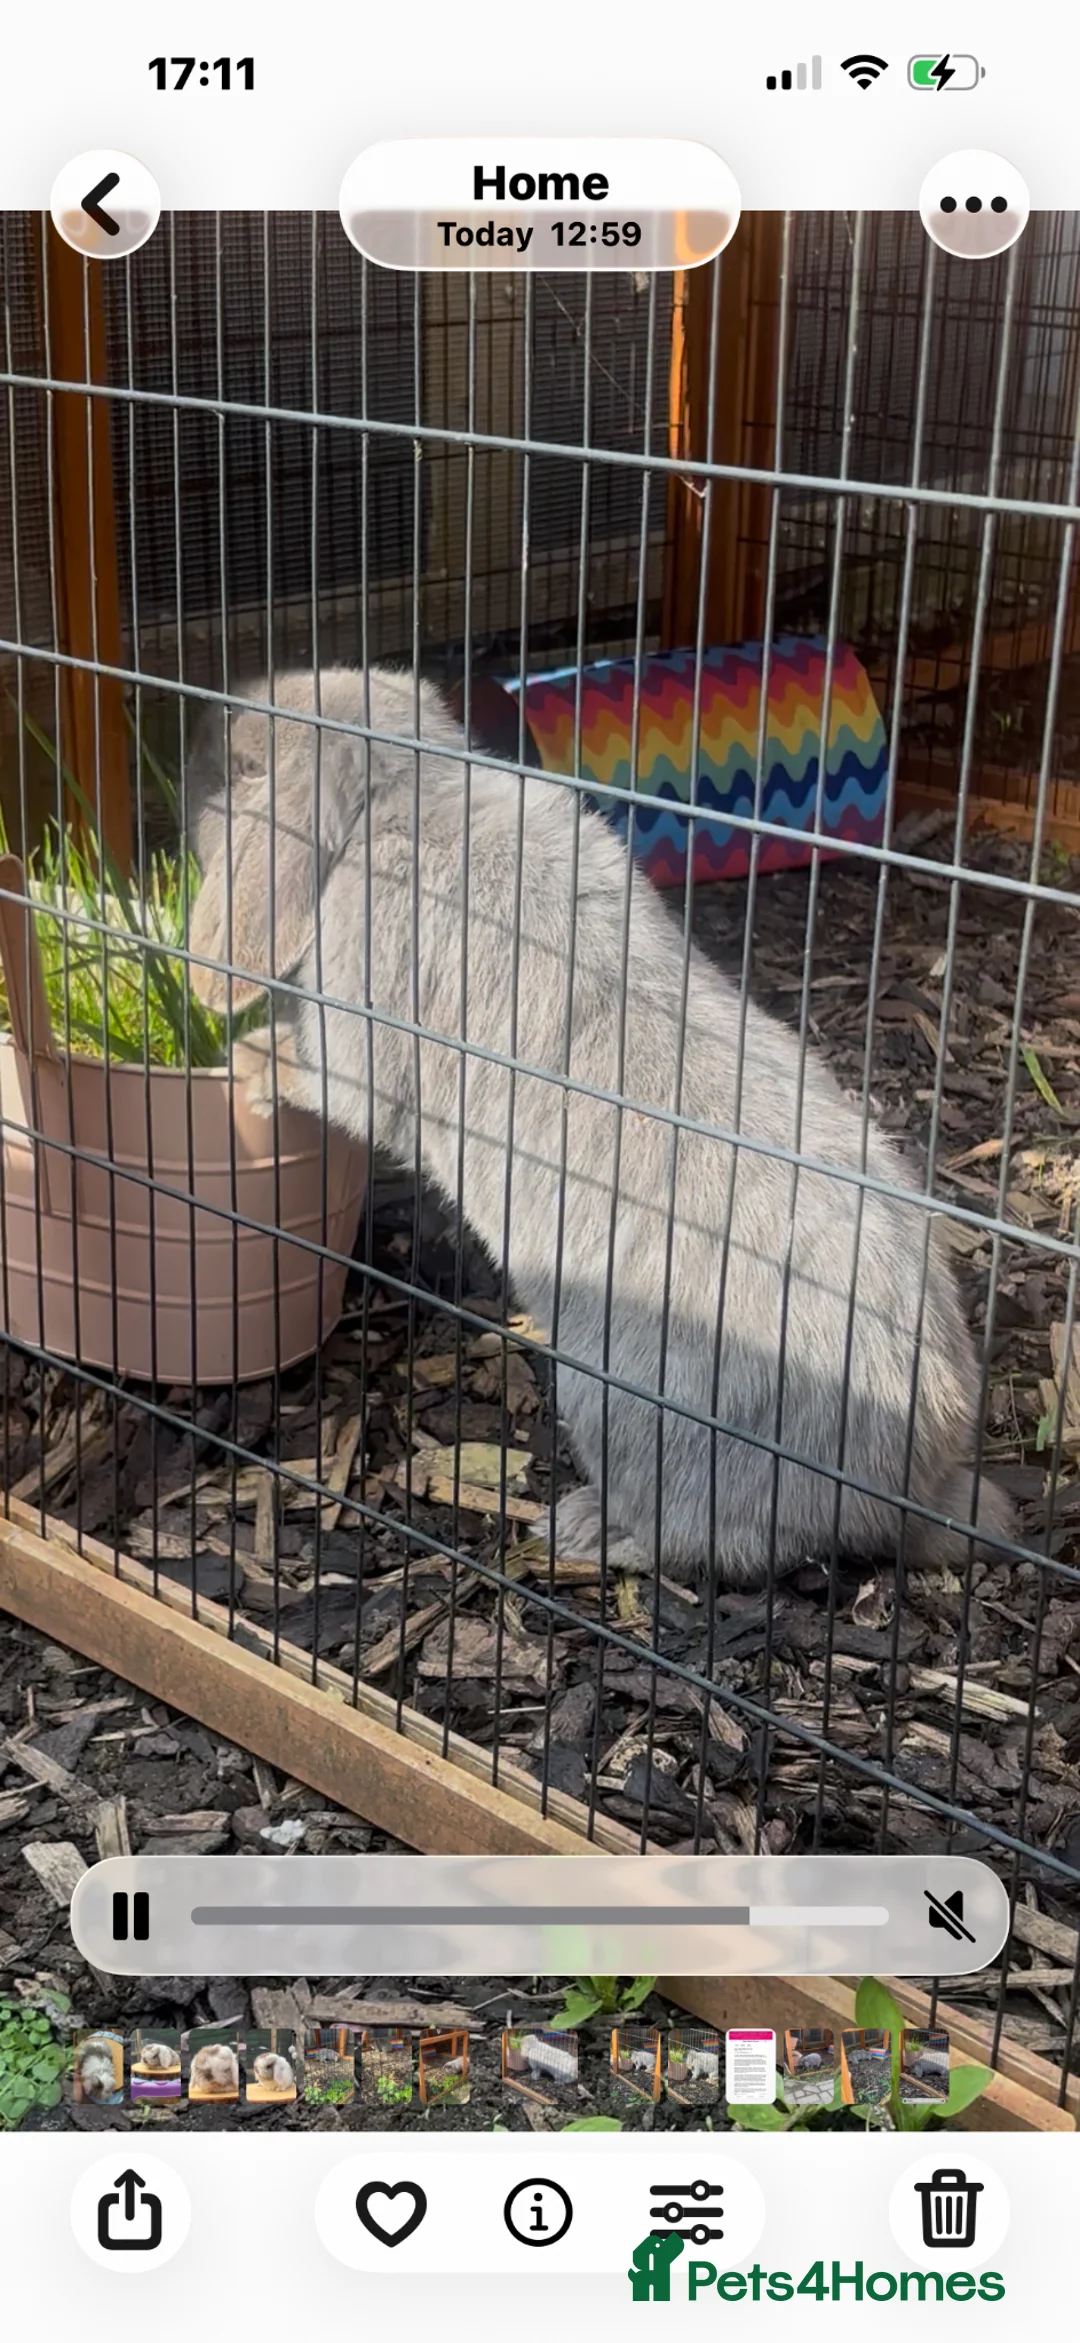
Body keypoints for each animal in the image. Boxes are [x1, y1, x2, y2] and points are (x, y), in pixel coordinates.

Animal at [187, 664, 1014, 1593]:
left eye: (243, 766)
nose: (190, 754)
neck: (409, 795)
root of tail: (909, 1479)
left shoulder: (362, 1018)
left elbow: (329, 1079)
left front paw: (251, 1061)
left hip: (621, 1407)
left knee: (710, 1543)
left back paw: (582, 1529)